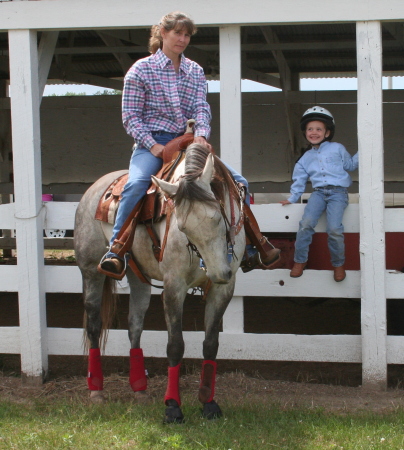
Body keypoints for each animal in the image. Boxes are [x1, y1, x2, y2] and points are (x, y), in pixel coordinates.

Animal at [75, 143, 246, 422]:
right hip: (91, 271)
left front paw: (209, 403)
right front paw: (173, 407)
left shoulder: (223, 290)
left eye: (217, 216)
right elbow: (175, 345)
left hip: (138, 278)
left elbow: (211, 345)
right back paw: (96, 391)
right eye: (183, 228)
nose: (219, 272)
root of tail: (94, 188)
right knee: (94, 326)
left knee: (135, 326)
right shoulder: (173, 287)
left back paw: (139, 390)